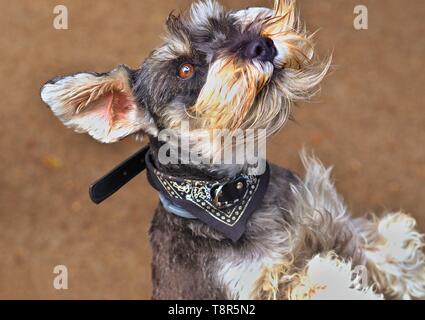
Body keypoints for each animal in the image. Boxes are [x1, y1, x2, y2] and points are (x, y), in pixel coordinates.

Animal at [40, 0, 424, 300]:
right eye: (184, 69)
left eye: (225, 23)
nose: (262, 45)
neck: (235, 197)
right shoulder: (251, 287)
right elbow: (310, 280)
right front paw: (333, 275)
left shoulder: (325, 217)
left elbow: (373, 252)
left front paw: (398, 246)